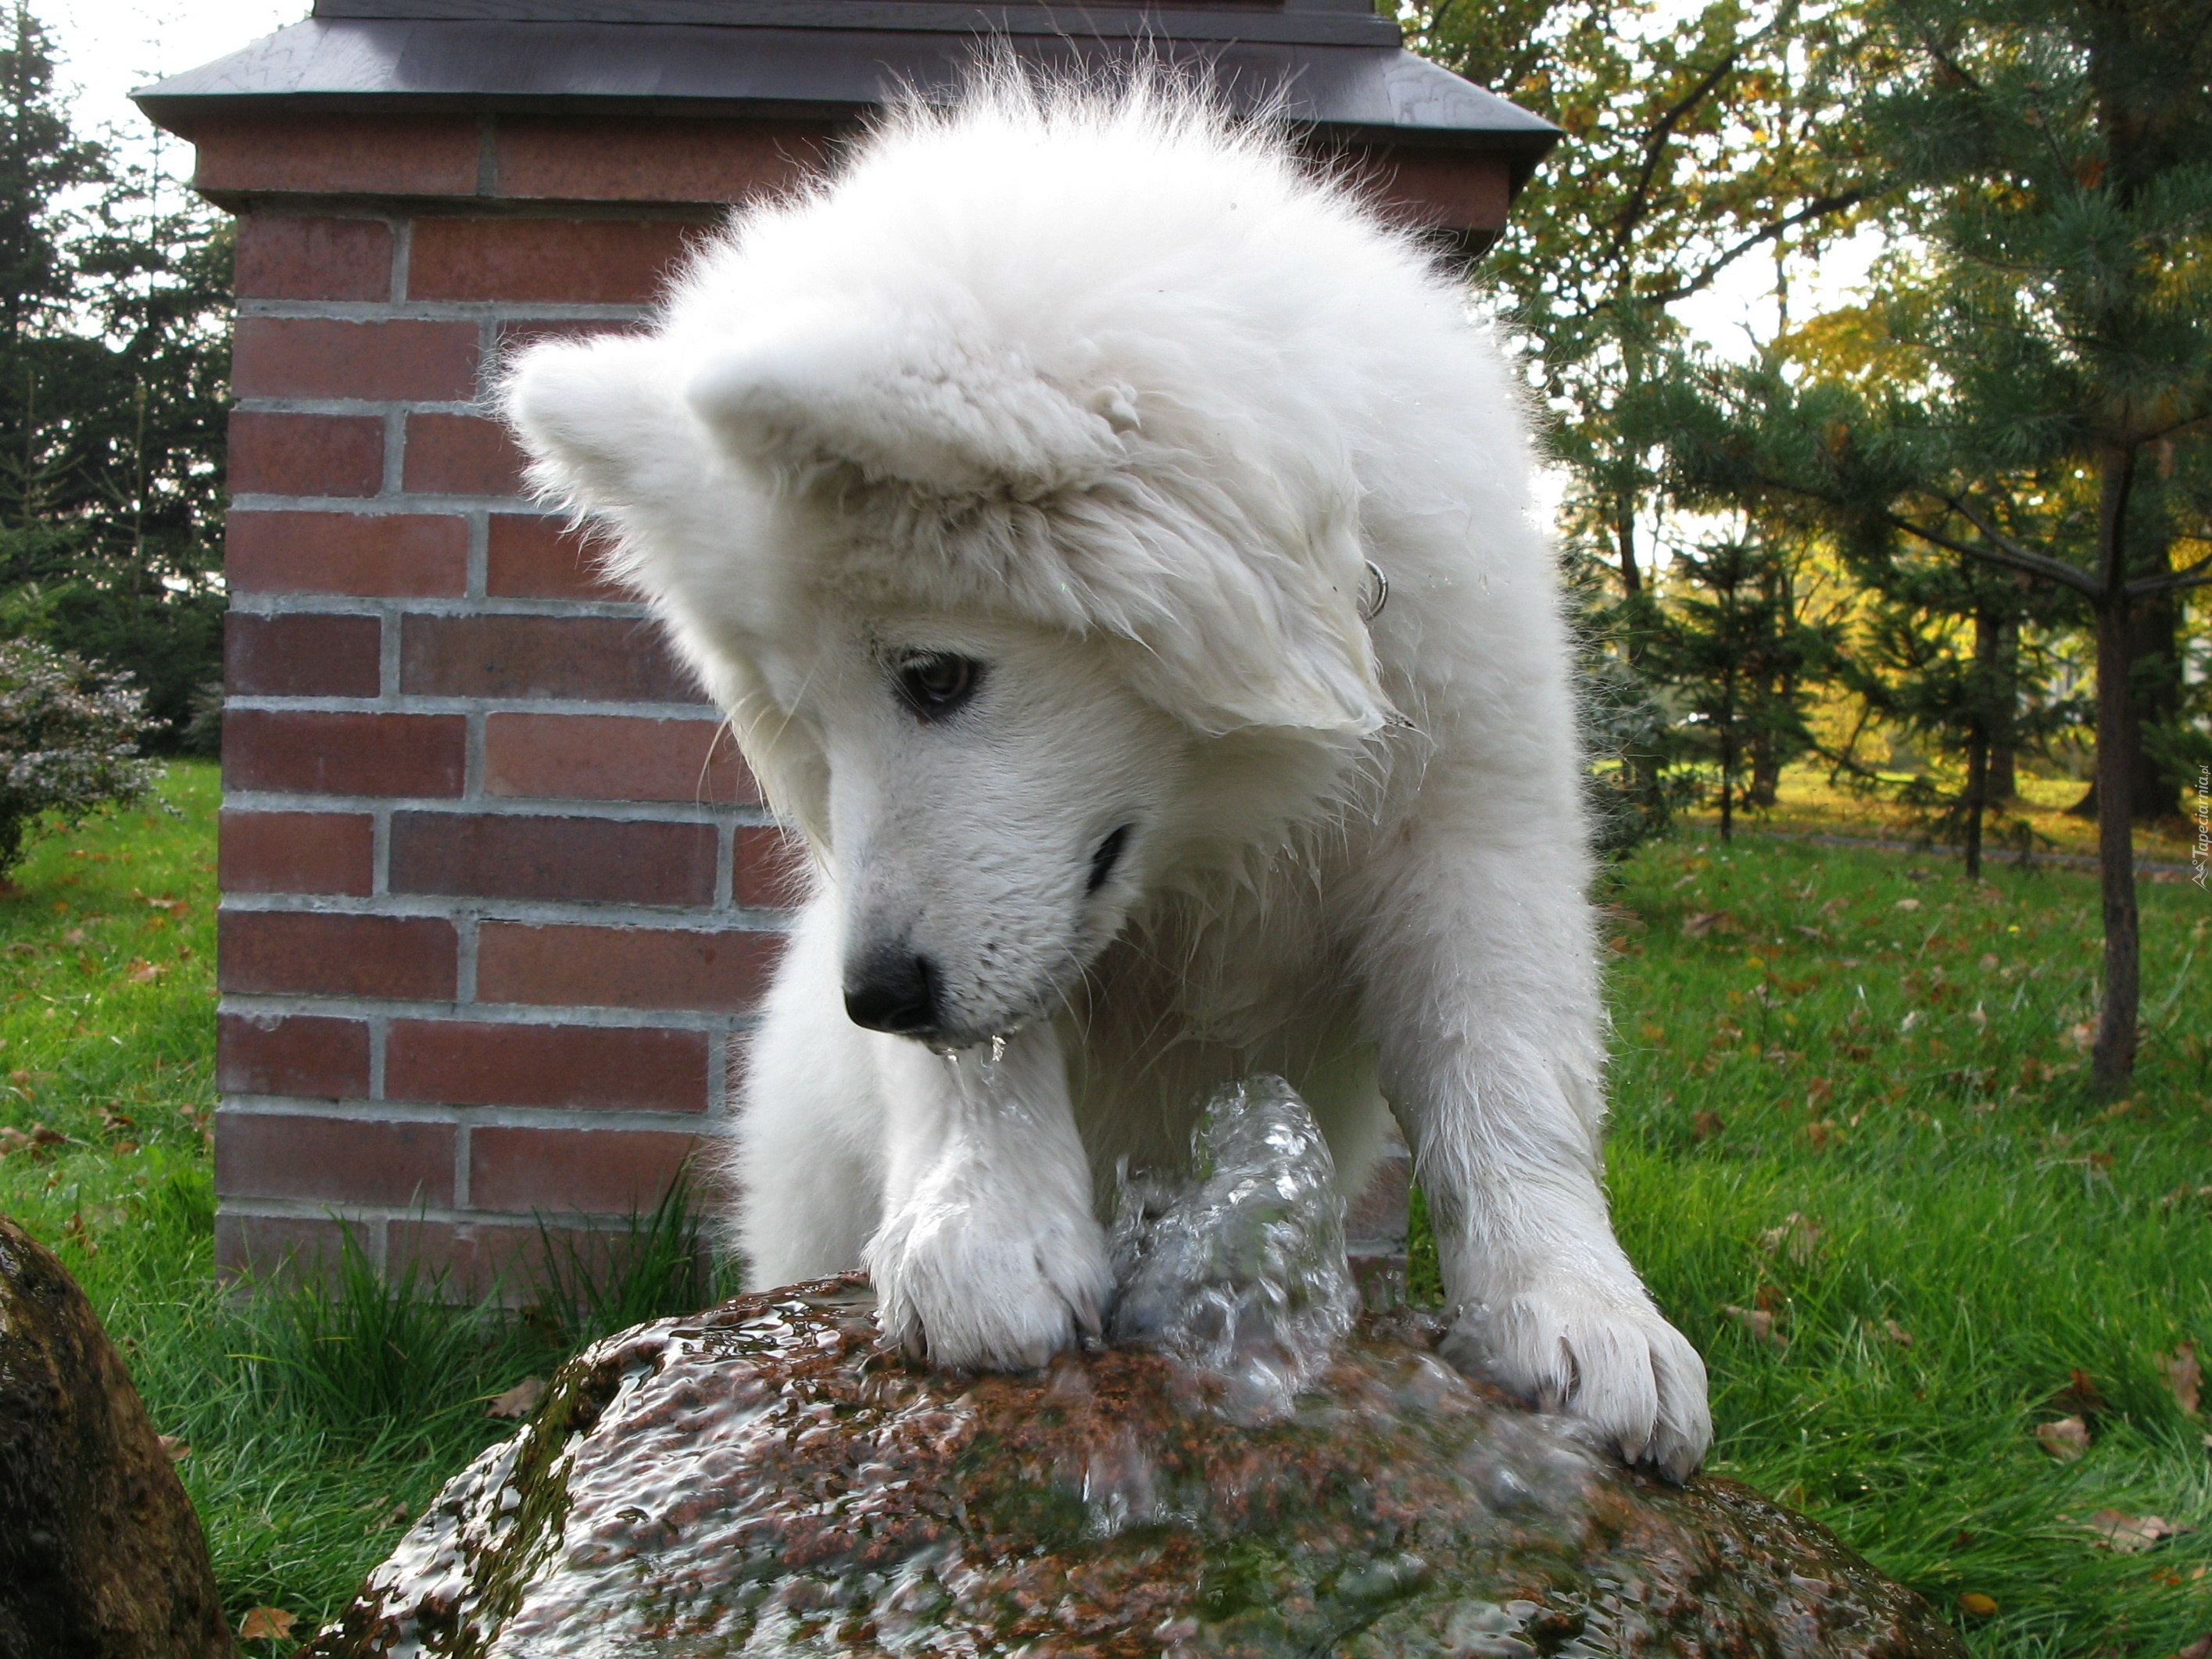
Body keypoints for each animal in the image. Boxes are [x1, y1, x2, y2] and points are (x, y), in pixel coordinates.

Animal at [508, 74, 1716, 1477]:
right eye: (808, 724)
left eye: (935, 676)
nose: (873, 998)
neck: (1222, 823)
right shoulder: (991, 926)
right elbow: (985, 1056)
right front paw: (983, 1228)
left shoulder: (1472, 826)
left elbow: (1508, 1079)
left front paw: (1578, 1309)